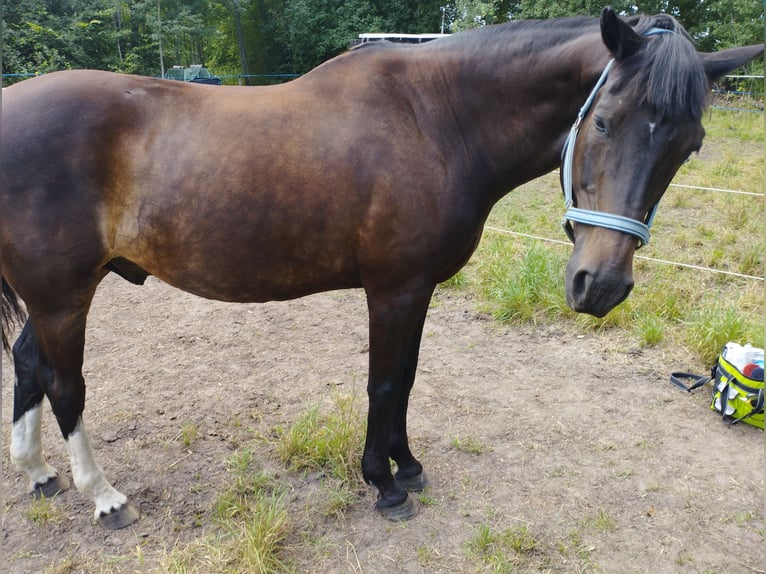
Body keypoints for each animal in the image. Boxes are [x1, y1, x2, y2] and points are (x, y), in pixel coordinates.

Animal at [3, 9, 764, 532]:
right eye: (603, 122)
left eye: (691, 145)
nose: (600, 284)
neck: (434, 119)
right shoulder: (392, 290)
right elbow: (385, 381)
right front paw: (384, 483)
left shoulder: (418, 289)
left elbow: (408, 378)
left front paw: (409, 464)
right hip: (63, 294)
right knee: (64, 384)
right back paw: (103, 497)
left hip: (61, 293)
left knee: (28, 363)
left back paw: (38, 472)